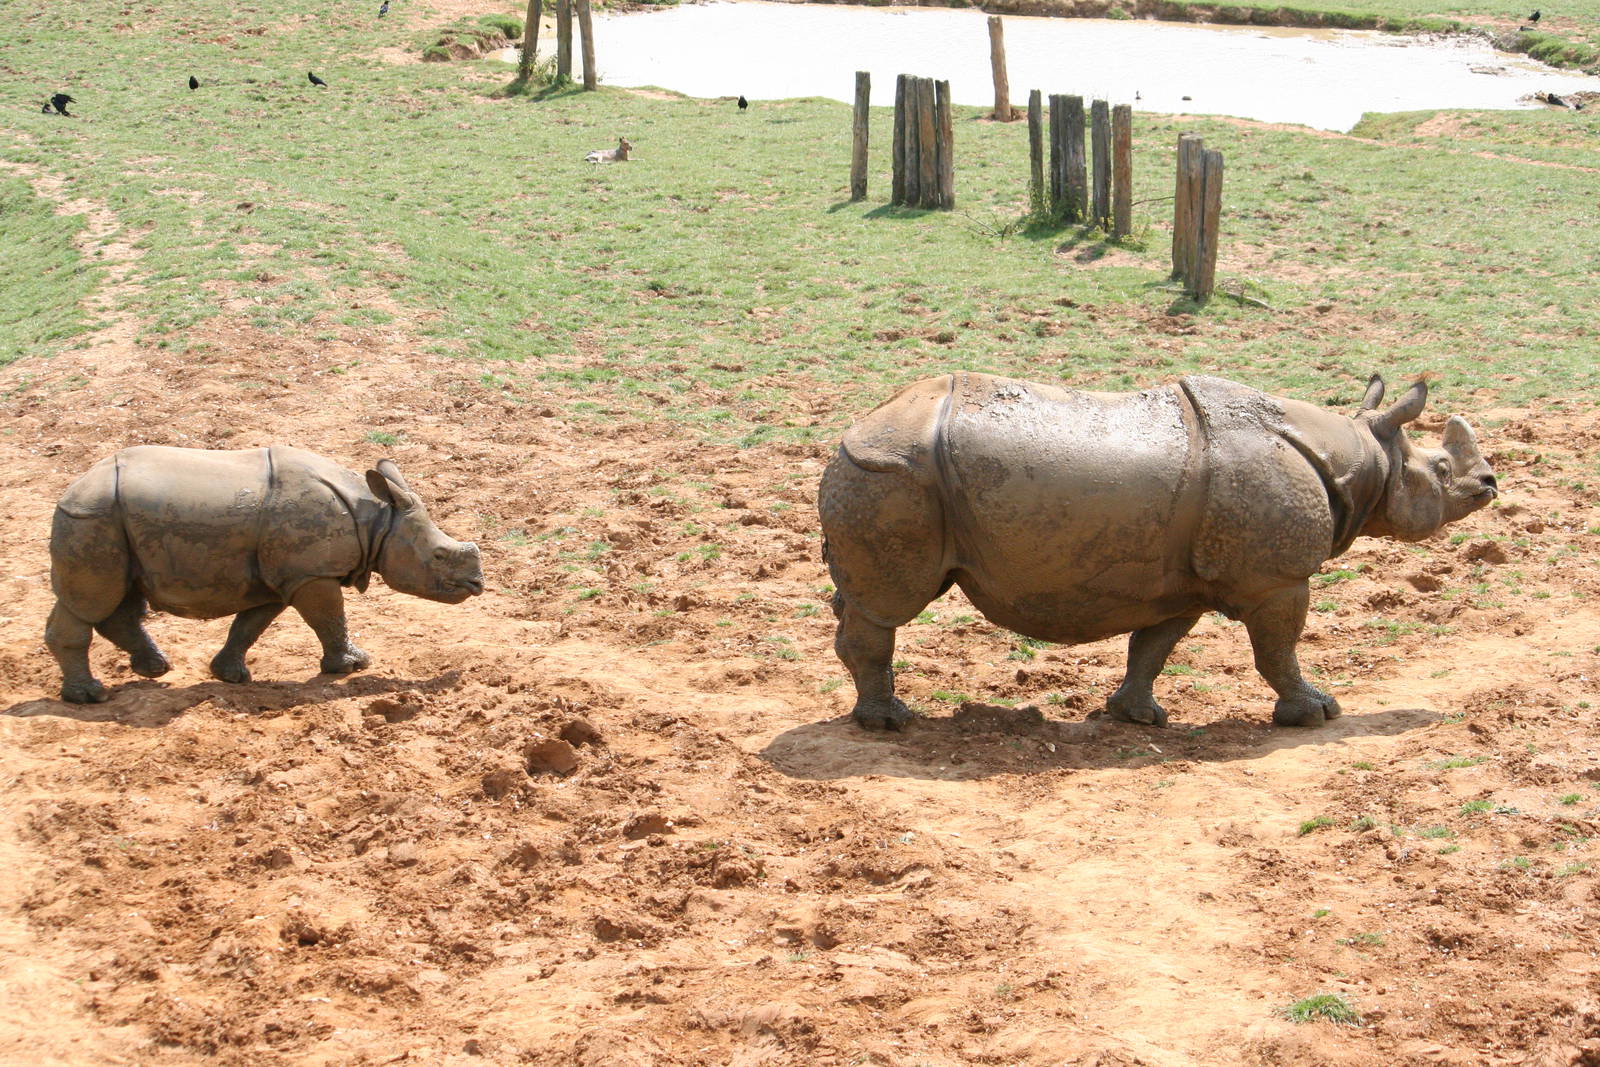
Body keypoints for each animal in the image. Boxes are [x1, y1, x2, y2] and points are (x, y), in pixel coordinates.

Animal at [45, 446, 483, 704]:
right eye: (439, 555)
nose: (477, 584)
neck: (376, 519)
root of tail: (72, 487)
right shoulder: (311, 573)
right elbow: (330, 617)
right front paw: (353, 666)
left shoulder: (281, 578)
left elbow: (251, 625)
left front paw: (230, 676)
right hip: (93, 517)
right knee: (90, 602)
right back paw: (89, 697)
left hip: (109, 520)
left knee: (117, 600)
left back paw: (154, 669)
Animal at [818, 372, 1497, 730]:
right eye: (1441, 470)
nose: (1490, 485)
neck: (1362, 455)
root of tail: (854, 429)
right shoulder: (1277, 577)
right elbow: (1278, 648)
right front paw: (1316, 713)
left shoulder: (1181, 583)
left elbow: (1155, 646)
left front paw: (1138, 716)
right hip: (893, 474)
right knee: (889, 606)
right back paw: (890, 722)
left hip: (894, 475)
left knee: (864, 602)